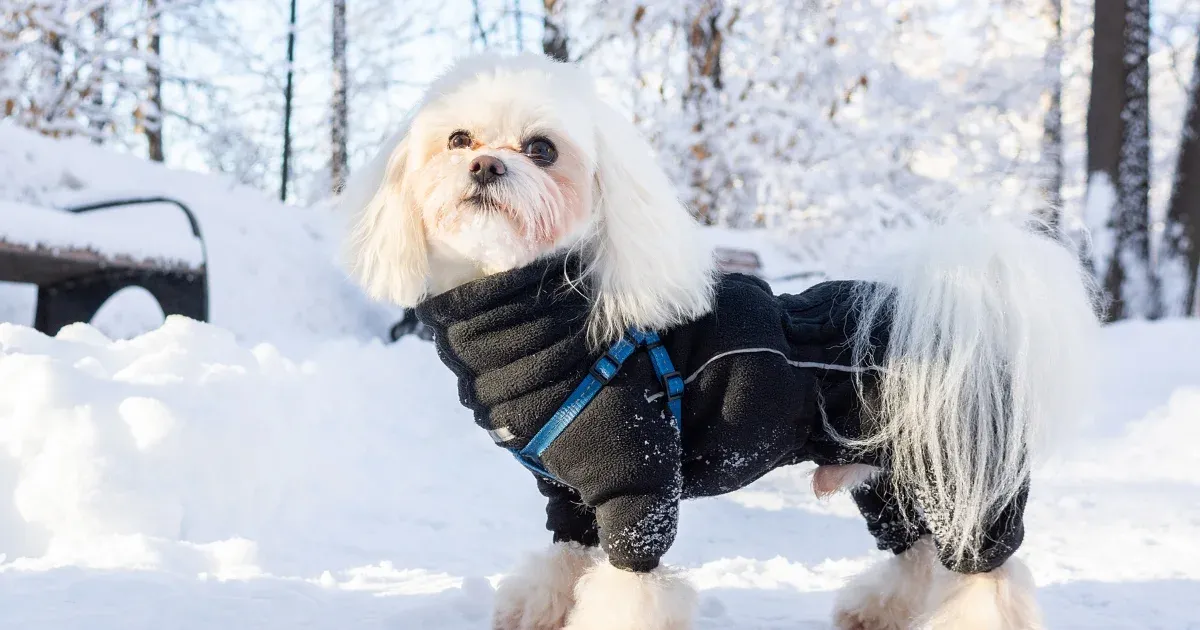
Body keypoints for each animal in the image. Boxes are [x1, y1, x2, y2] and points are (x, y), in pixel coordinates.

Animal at [338, 54, 1099, 628]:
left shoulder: (637, 486)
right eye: (458, 140)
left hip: (964, 478)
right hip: (890, 479)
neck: (537, 308)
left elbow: (628, 588)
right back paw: (874, 611)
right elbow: (561, 561)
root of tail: (963, 311)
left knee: (988, 576)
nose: (486, 168)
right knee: (911, 554)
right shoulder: (569, 496)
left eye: (542, 150)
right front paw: (534, 610)